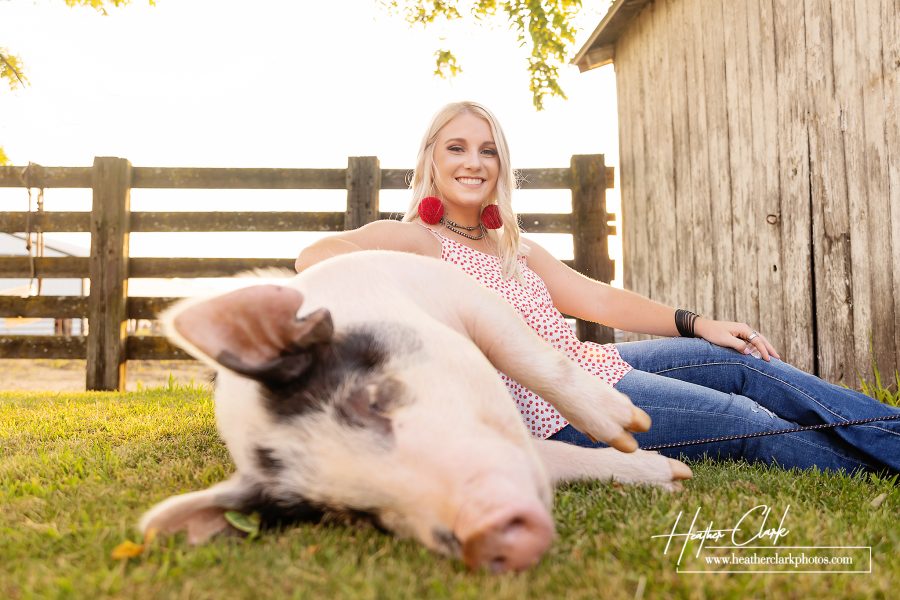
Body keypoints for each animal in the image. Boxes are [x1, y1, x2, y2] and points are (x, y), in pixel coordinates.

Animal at [139, 250, 691, 573]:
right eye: (353, 514)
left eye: (374, 398)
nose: (483, 536)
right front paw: (673, 476)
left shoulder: (467, 296)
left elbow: (530, 355)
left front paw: (632, 428)